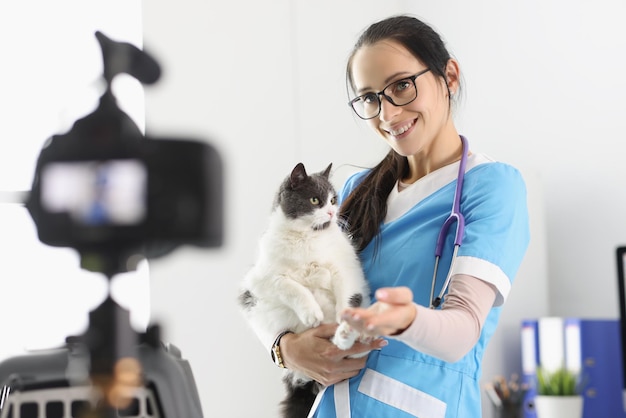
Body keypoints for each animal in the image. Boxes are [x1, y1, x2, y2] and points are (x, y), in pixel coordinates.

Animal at [236, 162, 368, 416]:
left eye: (334, 200)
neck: (307, 238)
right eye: (315, 200)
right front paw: (312, 314)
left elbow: (347, 297)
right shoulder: (261, 280)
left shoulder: (346, 269)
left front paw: (344, 328)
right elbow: (294, 287)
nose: (332, 213)